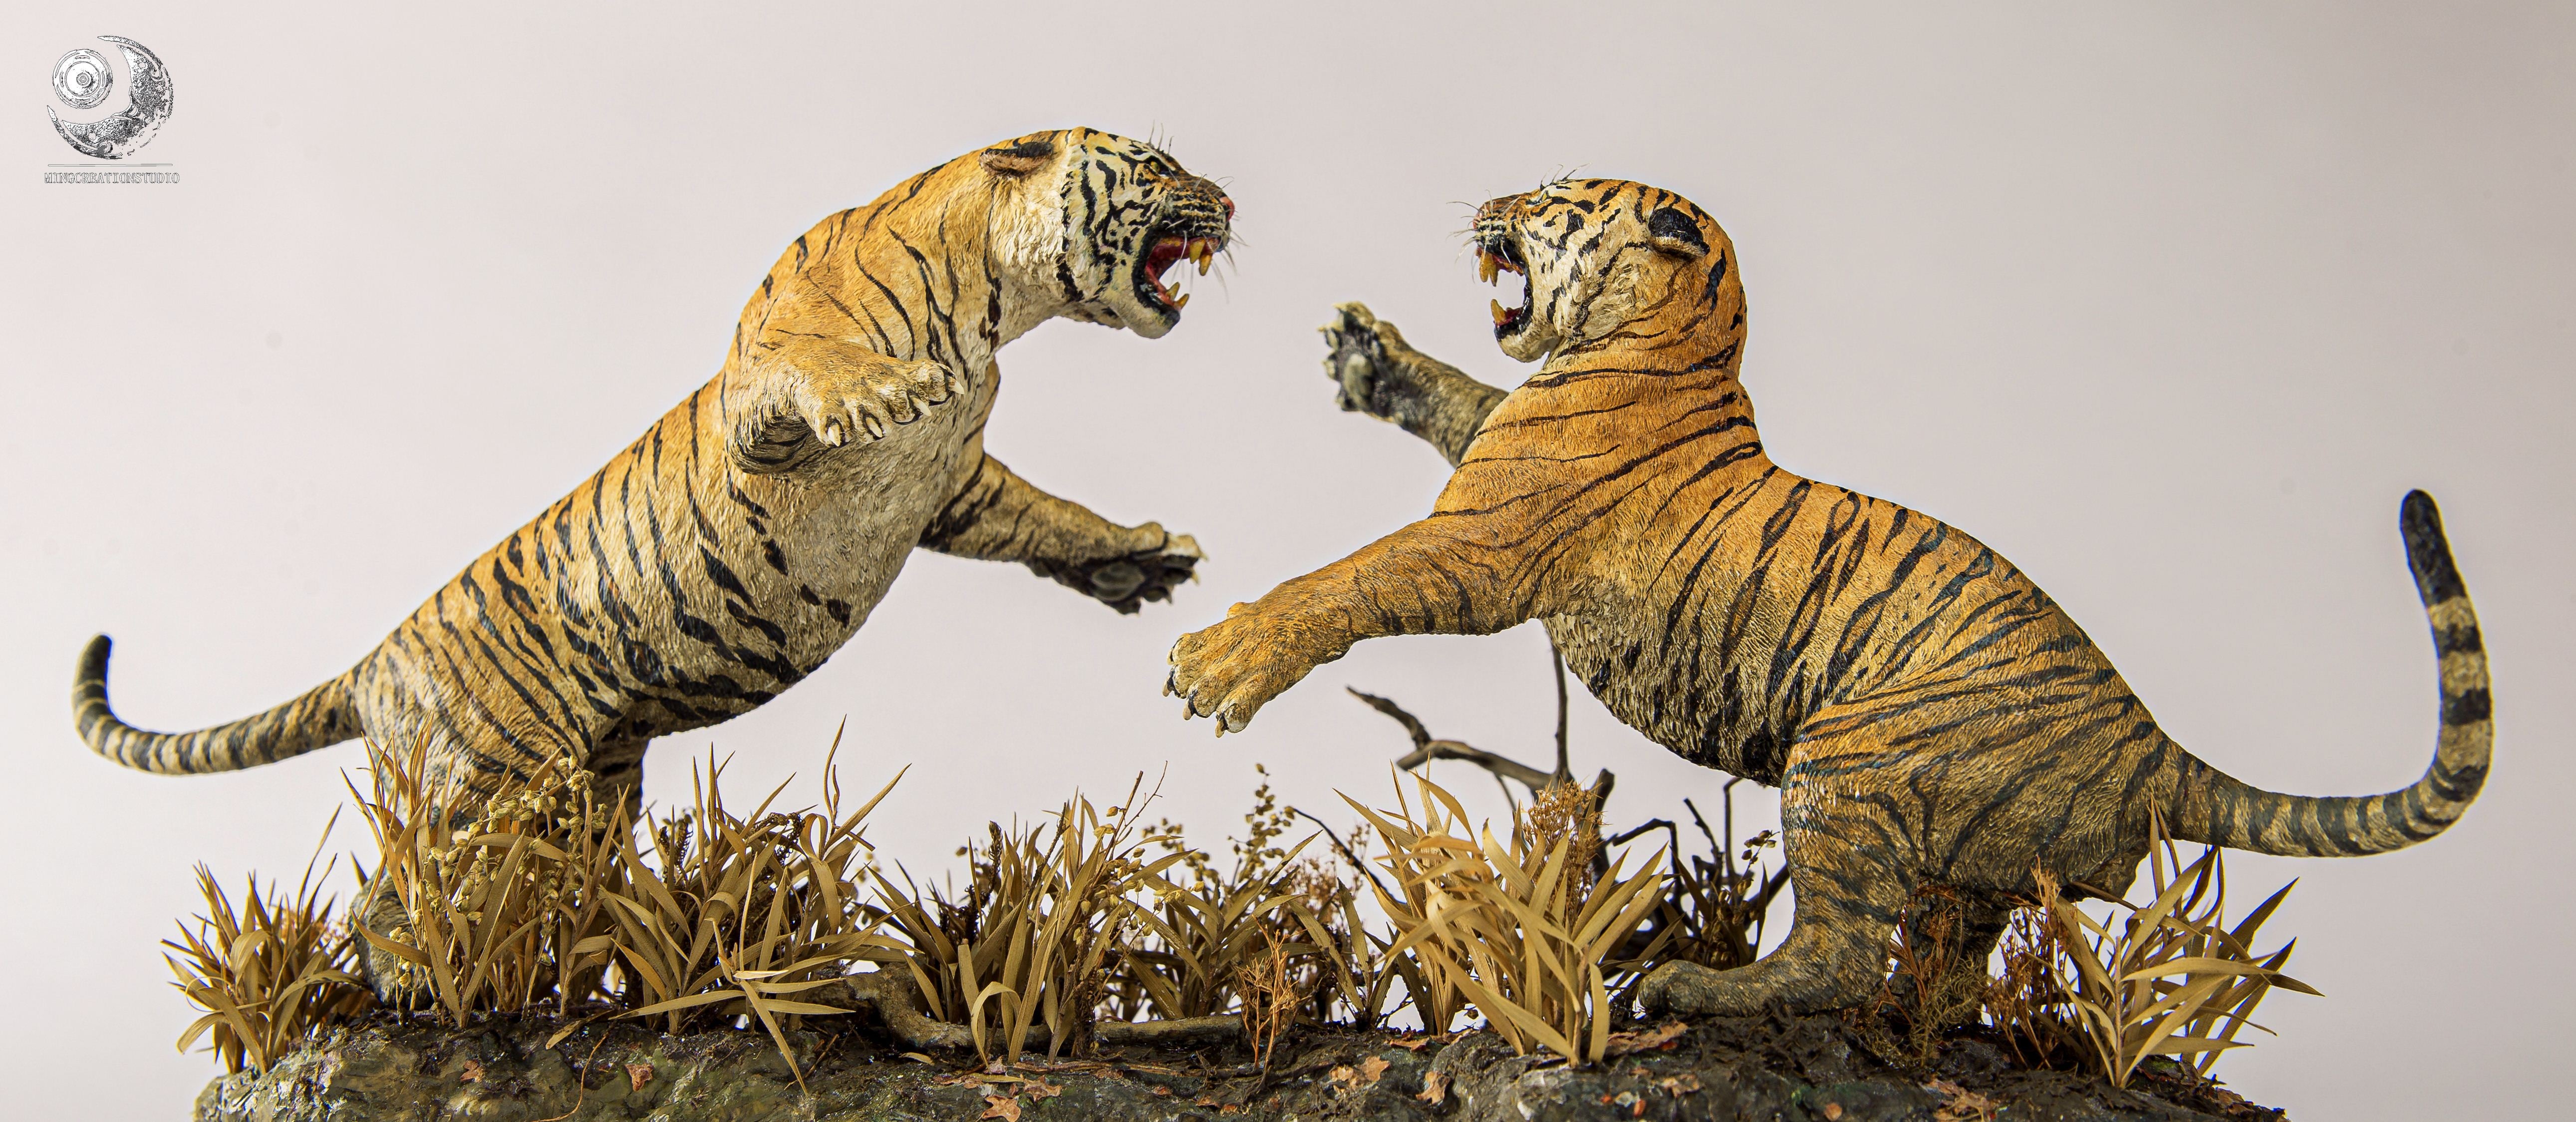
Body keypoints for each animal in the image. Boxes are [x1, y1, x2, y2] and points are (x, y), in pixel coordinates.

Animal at [76, 127, 1230, 828]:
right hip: (484, 773)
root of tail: (375, 659)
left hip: (589, 778)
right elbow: (818, 366)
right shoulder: (759, 403)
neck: (992, 309)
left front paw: (1139, 559)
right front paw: (883, 388)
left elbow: (1048, 514)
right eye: (1160, 164)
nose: (1226, 194)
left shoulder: (959, 486)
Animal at [1162, 177, 2490, 1018]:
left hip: (1847, 762)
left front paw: (1220, 662)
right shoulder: (1493, 455)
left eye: (1547, 199)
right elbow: (1454, 393)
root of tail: (2152, 745)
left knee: (1844, 952)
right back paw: (1930, 1030)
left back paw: (1698, 988)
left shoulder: (1479, 544)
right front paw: (1368, 356)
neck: (1674, 343)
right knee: (1949, 968)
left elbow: (1346, 577)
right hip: (1976, 862)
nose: (1484, 200)